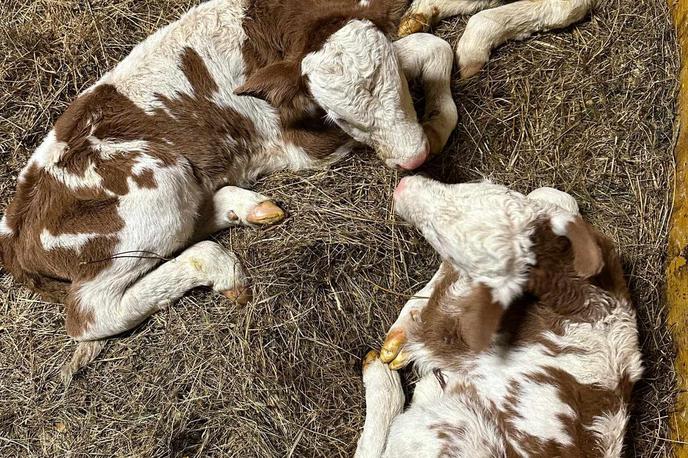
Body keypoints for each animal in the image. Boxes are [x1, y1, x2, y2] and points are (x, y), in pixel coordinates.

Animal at [1, 0, 462, 380]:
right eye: (338, 114)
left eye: (393, 81)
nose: (414, 158)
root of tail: (15, 233)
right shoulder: (303, 143)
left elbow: (434, 46)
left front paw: (435, 123)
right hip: (156, 188)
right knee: (90, 313)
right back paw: (217, 265)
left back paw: (248, 208)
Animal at [358, 179, 644, 458]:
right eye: (472, 185)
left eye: (443, 242)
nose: (403, 187)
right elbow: (555, 195)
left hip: (439, 429)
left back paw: (382, 378)